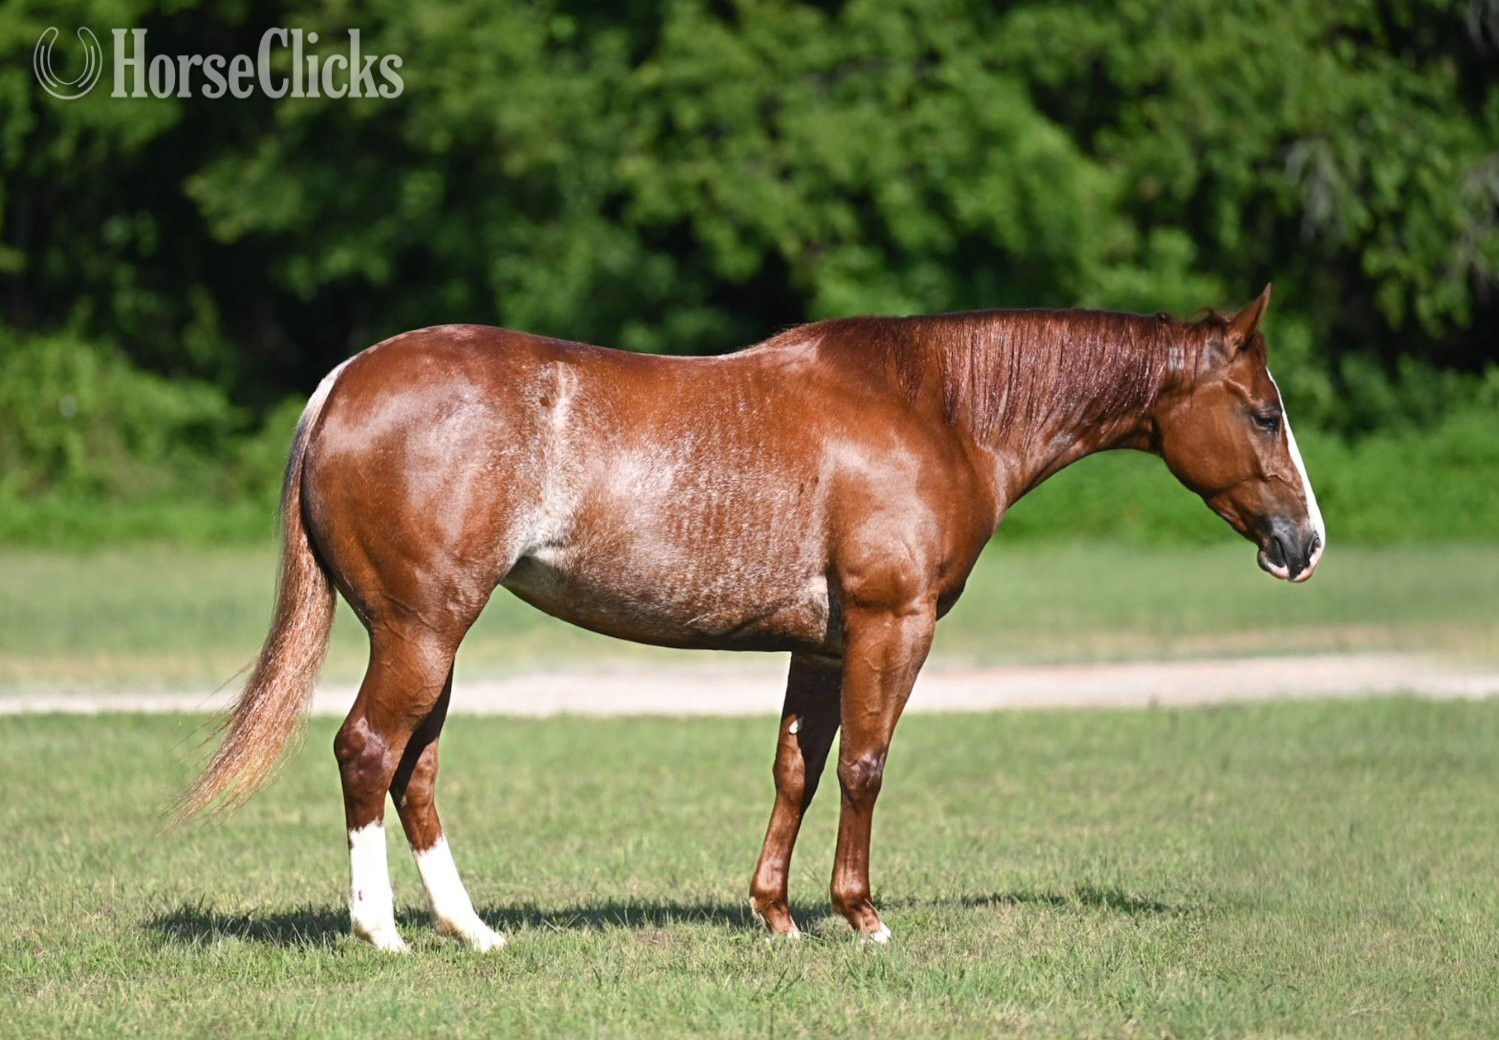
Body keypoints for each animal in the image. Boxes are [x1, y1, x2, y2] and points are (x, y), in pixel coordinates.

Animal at [180, 285, 1324, 951]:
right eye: (1264, 412)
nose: (1303, 543)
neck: (937, 407)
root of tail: (345, 381)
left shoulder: (819, 646)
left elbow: (796, 769)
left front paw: (774, 914)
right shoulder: (891, 625)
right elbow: (863, 765)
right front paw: (859, 915)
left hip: (432, 638)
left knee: (413, 769)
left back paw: (474, 929)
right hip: (420, 631)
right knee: (368, 750)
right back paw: (381, 933)